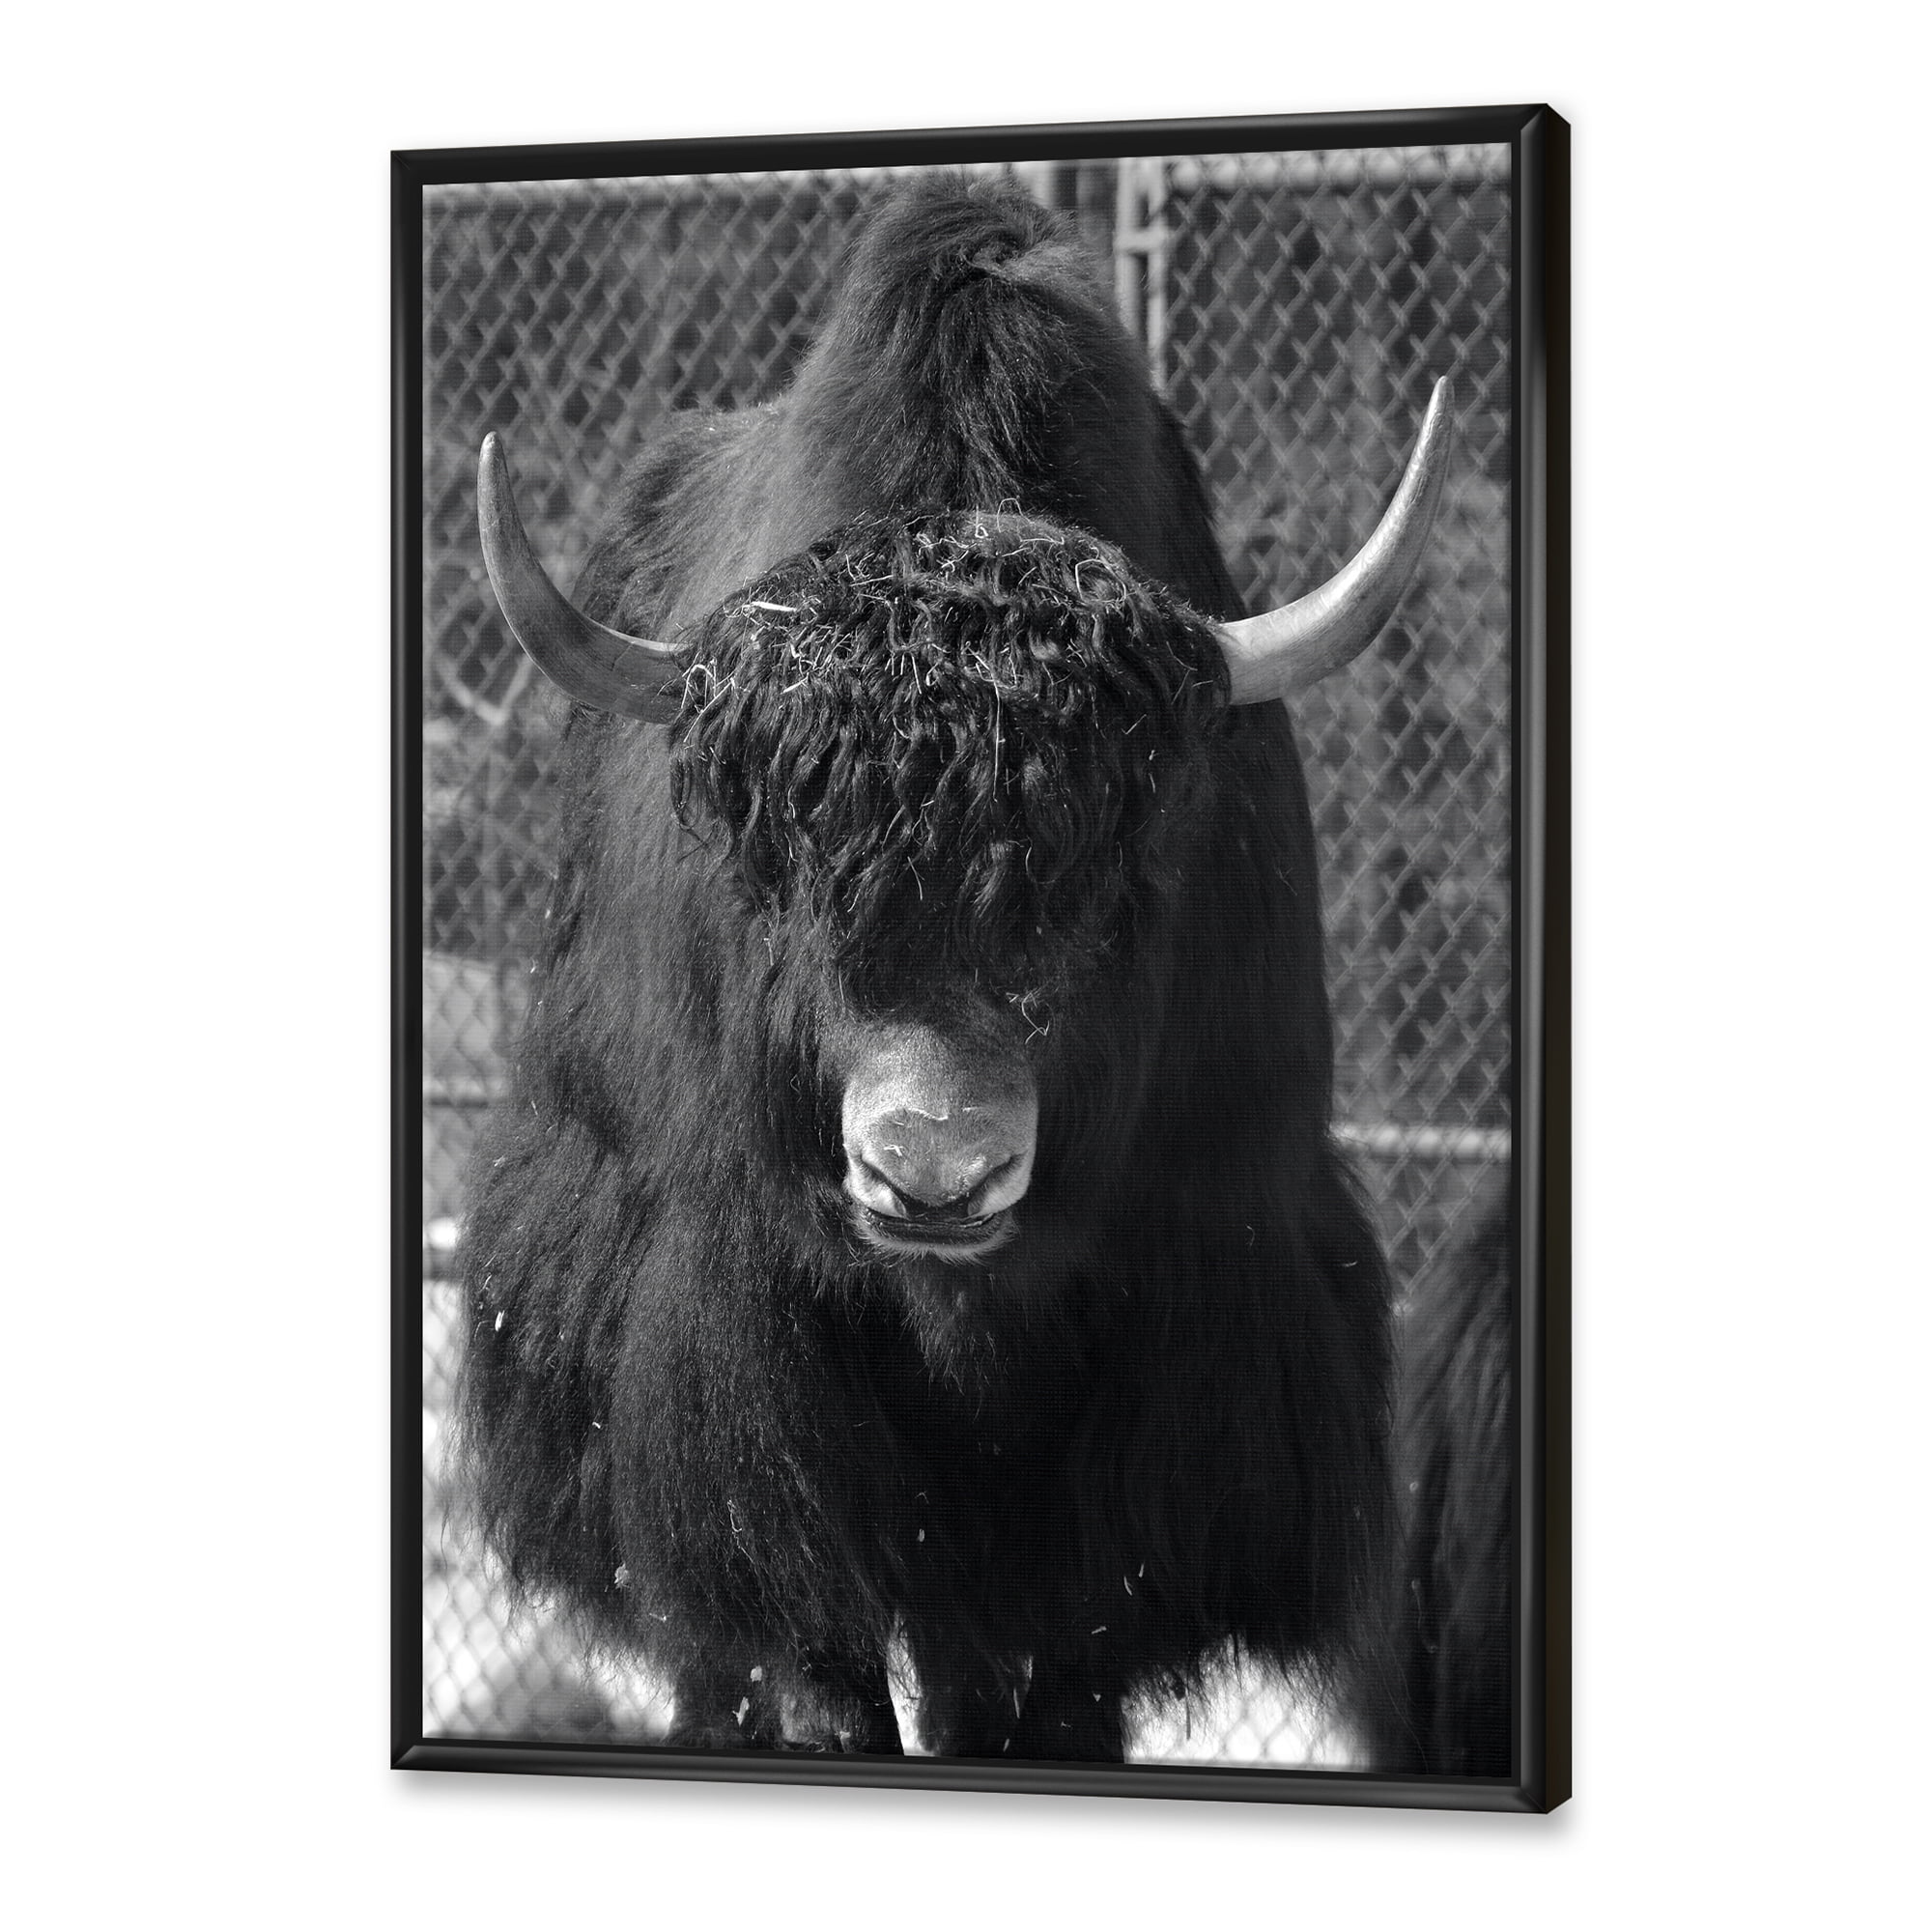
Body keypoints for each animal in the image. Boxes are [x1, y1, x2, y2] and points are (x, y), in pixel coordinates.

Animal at [457, 175, 1454, 1760]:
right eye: (789, 872)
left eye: (1106, 885)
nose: (932, 1174)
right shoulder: (743, 1379)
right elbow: (804, 1641)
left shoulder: (1179, 1364)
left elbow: (1060, 1677)